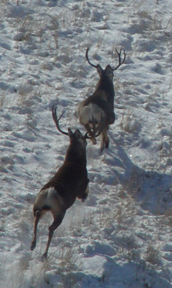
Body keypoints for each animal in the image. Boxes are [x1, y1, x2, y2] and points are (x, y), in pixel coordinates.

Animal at [30, 104, 102, 260]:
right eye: (84, 138)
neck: (74, 162)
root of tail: (49, 195)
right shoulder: (83, 182)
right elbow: (86, 186)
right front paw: (85, 197)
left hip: (38, 206)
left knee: (36, 218)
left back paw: (33, 245)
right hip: (60, 212)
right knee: (51, 228)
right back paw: (44, 254)